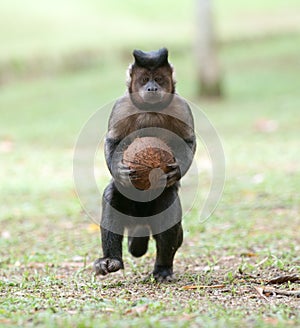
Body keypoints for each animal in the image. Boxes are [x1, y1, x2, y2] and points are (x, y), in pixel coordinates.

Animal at [94, 48, 197, 282]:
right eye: (144, 80)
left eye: (158, 78)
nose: (152, 87)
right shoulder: (121, 107)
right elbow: (113, 141)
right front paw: (120, 171)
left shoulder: (181, 106)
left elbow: (188, 141)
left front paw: (176, 170)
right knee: (112, 195)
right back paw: (111, 260)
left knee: (168, 206)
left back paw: (163, 268)